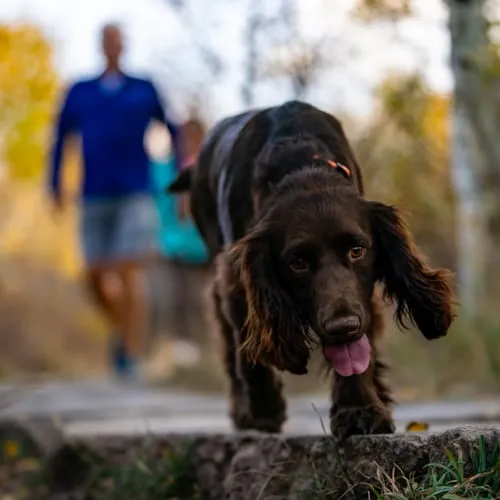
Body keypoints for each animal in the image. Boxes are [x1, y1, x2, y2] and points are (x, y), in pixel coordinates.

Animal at [170, 99, 456, 440]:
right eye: (298, 263)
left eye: (357, 250)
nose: (343, 326)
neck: (300, 164)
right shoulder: (236, 277)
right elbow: (248, 352)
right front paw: (264, 412)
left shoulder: (361, 299)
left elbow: (359, 353)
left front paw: (360, 410)